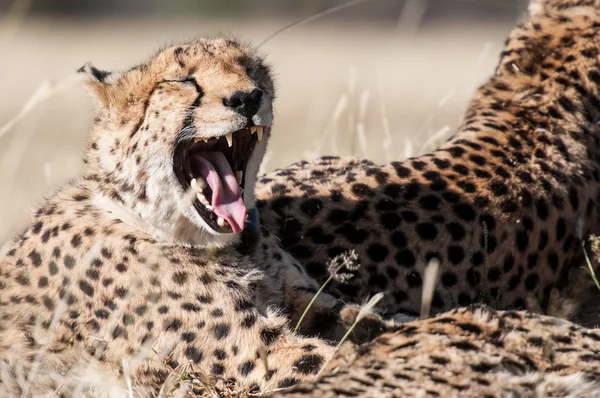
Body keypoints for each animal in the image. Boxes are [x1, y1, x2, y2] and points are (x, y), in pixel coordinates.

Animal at [0, 38, 384, 396]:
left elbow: (367, 322)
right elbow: (342, 359)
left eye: (251, 68)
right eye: (183, 80)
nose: (247, 98)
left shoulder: (305, 301)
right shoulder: (261, 357)